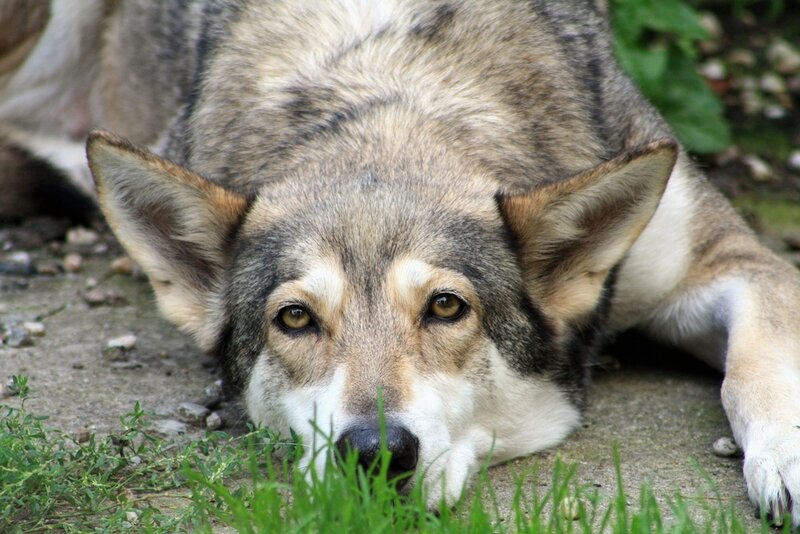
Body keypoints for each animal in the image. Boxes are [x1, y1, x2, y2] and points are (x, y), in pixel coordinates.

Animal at [2, 0, 799, 523]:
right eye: (295, 319)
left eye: (446, 306)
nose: (376, 453)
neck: (391, 97)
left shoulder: (734, 261)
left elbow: (759, 363)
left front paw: (786, 461)